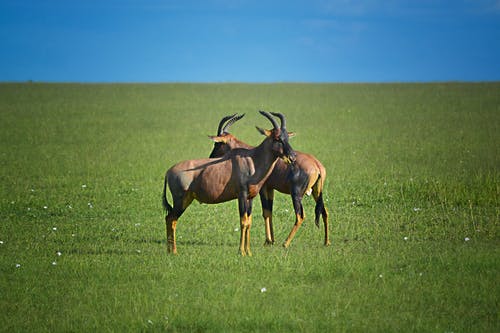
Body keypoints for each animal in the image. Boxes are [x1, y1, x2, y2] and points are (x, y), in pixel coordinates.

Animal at [163, 111, 296, 254]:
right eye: (277, 138)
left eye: (287, 137)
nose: (292, 157)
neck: (252, 159)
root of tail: (168, 172)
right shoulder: (241, 195)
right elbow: (243, 221)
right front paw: (241, 252)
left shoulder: (250, 197)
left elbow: (249, 222)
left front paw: (248, 252)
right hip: (180, 200)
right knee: (171, 219)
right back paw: (173, 251)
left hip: (187, 199)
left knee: (170, 218)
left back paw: (170, 250)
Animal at [209, 113, 330, 246]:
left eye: (217, 143)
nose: (211, 157)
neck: (253, 154)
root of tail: (317, 165)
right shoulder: (270, 188)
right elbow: (269, 212)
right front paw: (271, 240)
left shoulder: (263, 188)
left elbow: (265, 212)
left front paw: (268, 240)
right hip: (317, 193)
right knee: (324, 212)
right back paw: (327, 242)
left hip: (296, 194)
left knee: (300, 216)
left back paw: (285, 243)